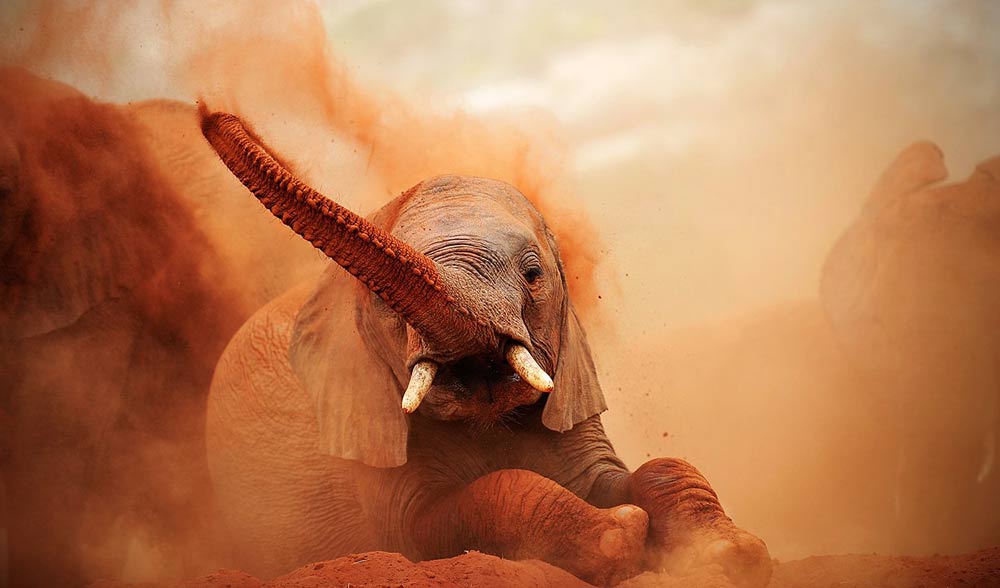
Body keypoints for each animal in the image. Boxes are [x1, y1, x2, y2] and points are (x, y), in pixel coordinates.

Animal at [201, 111, 772, 588]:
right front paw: (619, 537)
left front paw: (731, 554)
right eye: (384, 304)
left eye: (534, 274)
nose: (210, 113)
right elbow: (447, 514)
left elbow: (645, 471)